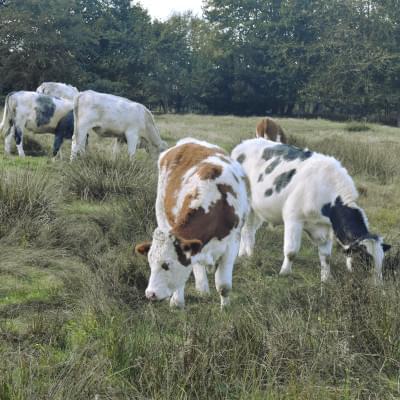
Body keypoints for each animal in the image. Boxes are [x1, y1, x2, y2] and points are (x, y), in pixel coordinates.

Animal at [136, 138, 248, 310]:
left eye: (166, 265)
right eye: (150, 262)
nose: (150, 294)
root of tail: (187, 142)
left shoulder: (232, 244)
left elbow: (224, 285)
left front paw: (225, 308)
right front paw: (177, 302)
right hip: (160, 212)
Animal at [231, 139, 390, 282]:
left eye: (381, 260)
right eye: (365, 259)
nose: (377, 286)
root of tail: (243, 144)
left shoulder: (325, 228)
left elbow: (326, 257)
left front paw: (326, 279)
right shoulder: (293, 218)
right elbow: (291, 251)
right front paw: (284, 273)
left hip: (256, 210)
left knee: (248, 230)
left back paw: (244, 255)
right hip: (244, 205)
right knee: (245, 231)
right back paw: (249, 256)